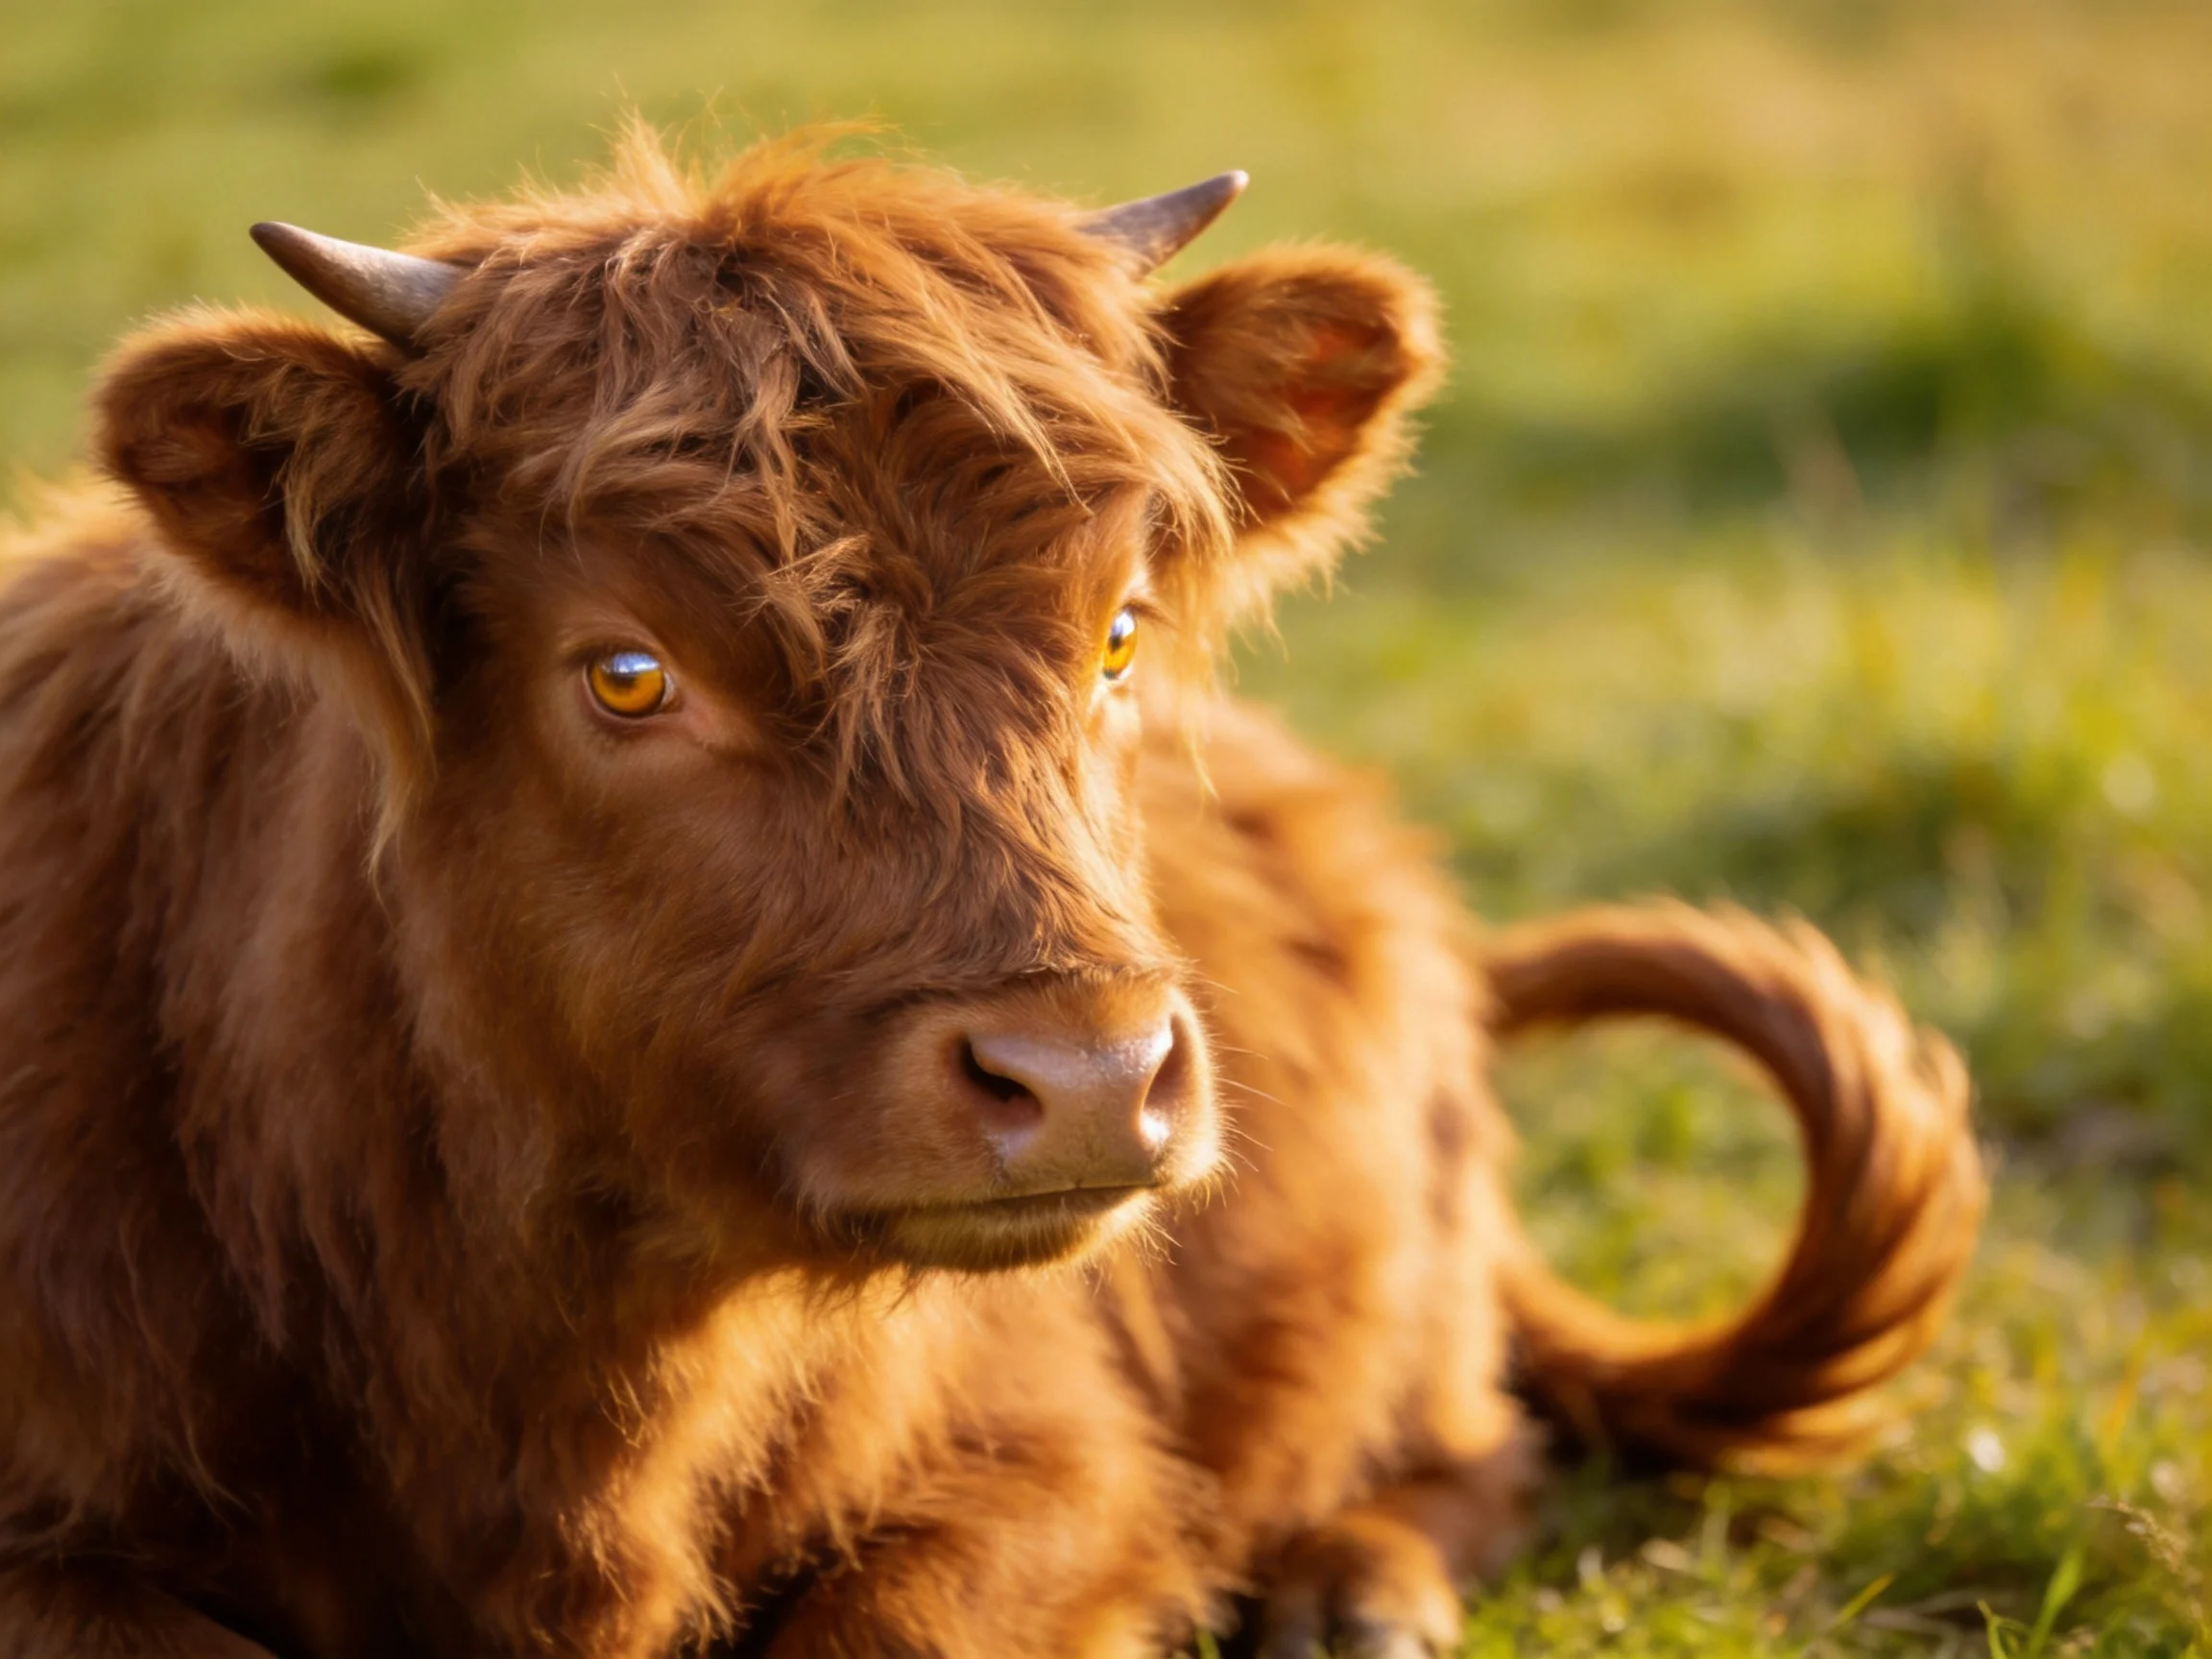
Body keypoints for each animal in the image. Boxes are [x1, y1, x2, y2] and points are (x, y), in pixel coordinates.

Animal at [0, 129, 1983, 1658]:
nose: (1091, 1078)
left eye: (1114, 633)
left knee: (1468, 1438)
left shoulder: (1057, 1459)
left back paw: (1353, 1600)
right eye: (627, 672)